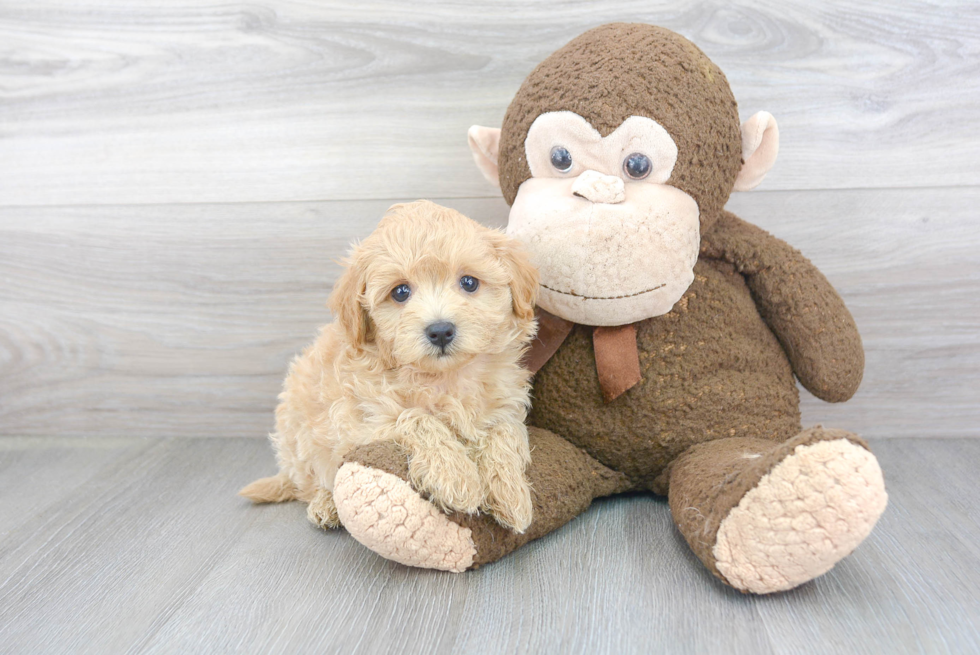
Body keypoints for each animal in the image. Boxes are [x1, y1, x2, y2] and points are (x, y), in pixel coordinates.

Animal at [241, 202, 540, 536]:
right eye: (400, 292)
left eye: (469, 282)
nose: (440, 331)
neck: (444, 377)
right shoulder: (364, 418)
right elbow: (416, 418)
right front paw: (455, 475)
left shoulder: (504, 403)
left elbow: (504, 433)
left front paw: (511, 493)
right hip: (300, 438)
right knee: (313, 481)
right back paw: (325, 504)